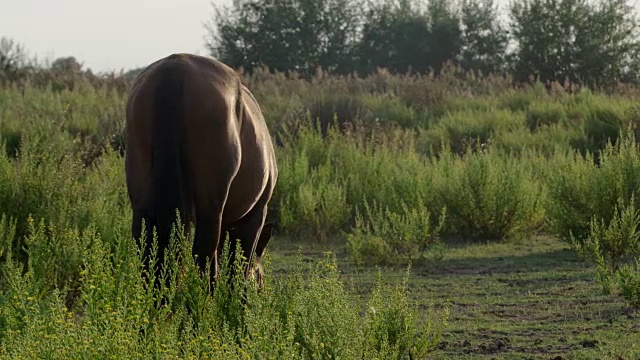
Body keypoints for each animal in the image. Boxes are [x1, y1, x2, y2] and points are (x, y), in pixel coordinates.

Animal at [125, 52, 278, 286]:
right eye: (259, 278)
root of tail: (174, 69)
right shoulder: (255, 216)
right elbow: (237, 272)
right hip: (210, 208)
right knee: (205, 258)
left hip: (142, 203)